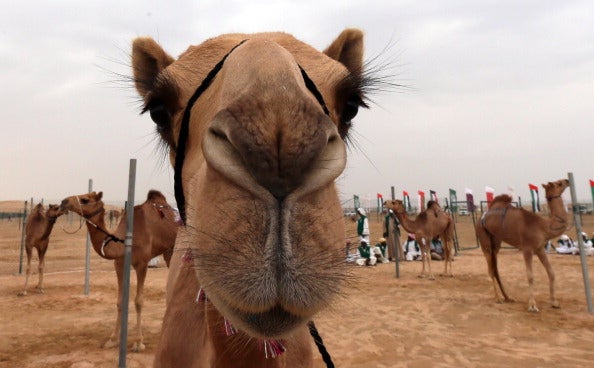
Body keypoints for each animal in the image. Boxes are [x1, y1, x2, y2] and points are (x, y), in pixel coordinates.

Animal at [59, 190, 177, 350]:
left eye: (85, 199)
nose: (64, 202)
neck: (123, 242)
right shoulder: (119, 264)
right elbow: (120, 302)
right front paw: (113, 339)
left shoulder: (142, 264)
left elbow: (139, 301)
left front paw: (138, 342)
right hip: (168, 251)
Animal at [472, 180, 568, 312]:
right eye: (559, 183)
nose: (567, 181)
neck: (543, 226)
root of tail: (482, 217)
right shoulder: (527, 248)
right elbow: (530, 276)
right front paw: (532, 306)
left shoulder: (539, 249)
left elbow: (551, 272)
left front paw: (554, 302)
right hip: (483, 237)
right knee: (490, 269)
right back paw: (498, 298)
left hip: (495, 241)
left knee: (496, 268)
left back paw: (507, 297)